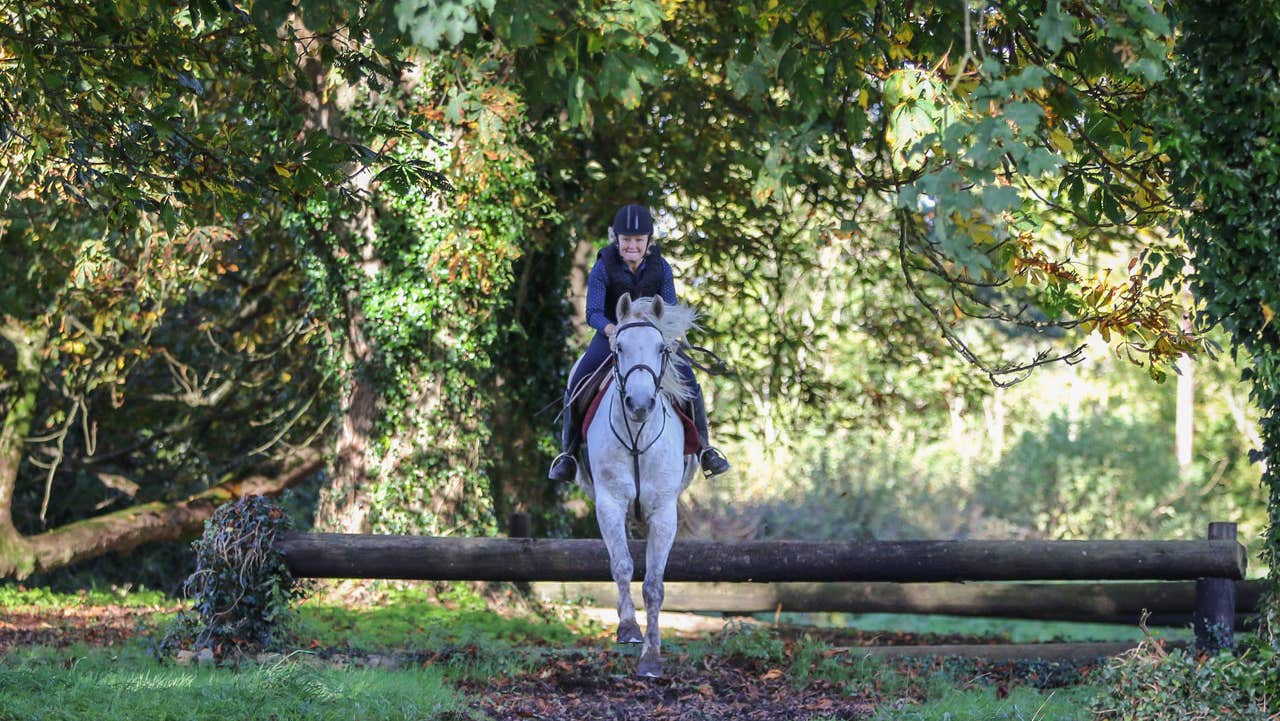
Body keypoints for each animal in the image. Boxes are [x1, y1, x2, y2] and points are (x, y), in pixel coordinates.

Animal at [573, 292, 700, 678]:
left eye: (661, 348)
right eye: (618, 348)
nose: (640, 404)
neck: (638, 436)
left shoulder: (663, 513)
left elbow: (654, 585)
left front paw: (651, 659)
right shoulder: (609, 503)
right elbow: (622, 565)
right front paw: (628, 628)